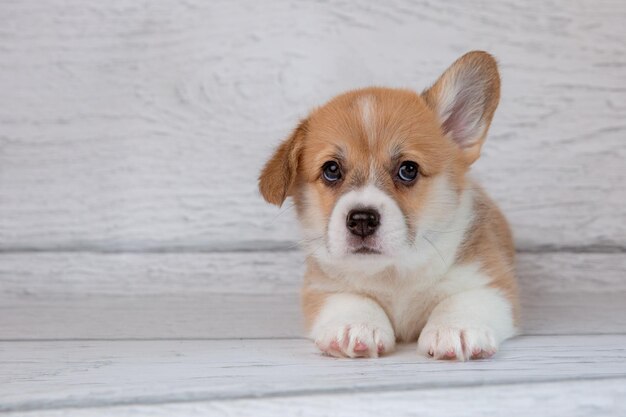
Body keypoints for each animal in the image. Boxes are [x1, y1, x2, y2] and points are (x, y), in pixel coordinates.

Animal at [256, 51, 516, 358]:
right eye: (331, 170)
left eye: (408, 169)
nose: (361, 220)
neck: (393, 273)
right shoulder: (322, 287)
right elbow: (352, 300)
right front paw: (355, 325)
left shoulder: (491, 282)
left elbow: (461, 301)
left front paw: (456, 329)